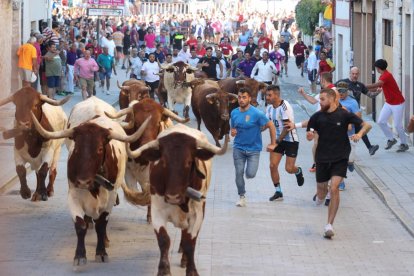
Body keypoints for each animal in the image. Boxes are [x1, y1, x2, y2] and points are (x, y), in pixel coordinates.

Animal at [31, 97, 150, 268]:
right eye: (77, 149)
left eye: (100, 149)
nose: (82, 181)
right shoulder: (73, 195)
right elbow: (80, 225)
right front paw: (80, 255)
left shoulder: (109, 199)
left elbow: (101, 224)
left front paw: (101, 251)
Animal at [127, 124, 228, 276]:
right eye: (163, 162)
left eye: (189, 162)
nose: (173, 197)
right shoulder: (157, 211)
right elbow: (164, 240)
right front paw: (163, 270)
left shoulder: (197, 215)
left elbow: (190, 242)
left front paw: (191, 270)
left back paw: (185, 259)